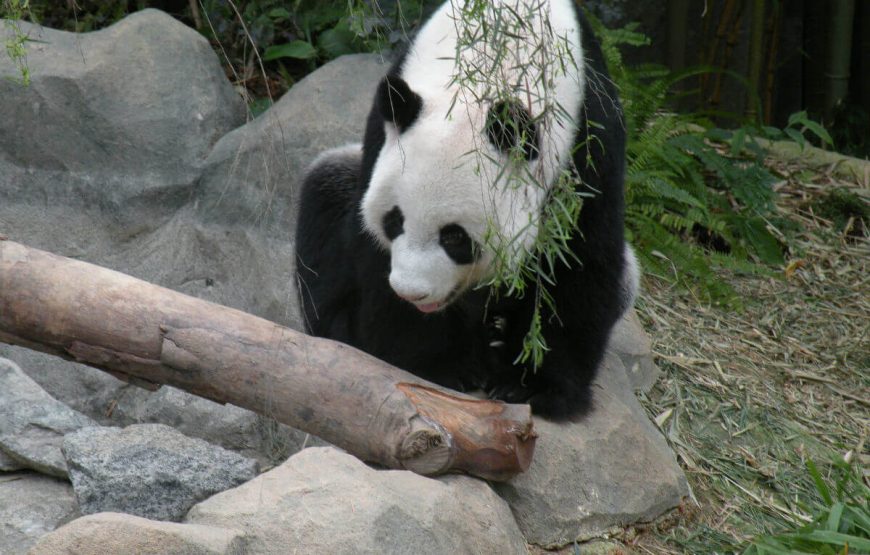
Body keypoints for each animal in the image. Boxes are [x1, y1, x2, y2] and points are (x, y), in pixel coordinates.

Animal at [294, 0, 640, 420]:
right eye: (394, 222)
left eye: (455, 237)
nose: (412, 292)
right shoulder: (383, 127)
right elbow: (371, 250)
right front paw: (441, 365)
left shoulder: (588, 140)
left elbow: (574, 263)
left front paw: (528, 385)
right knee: (325, 193)